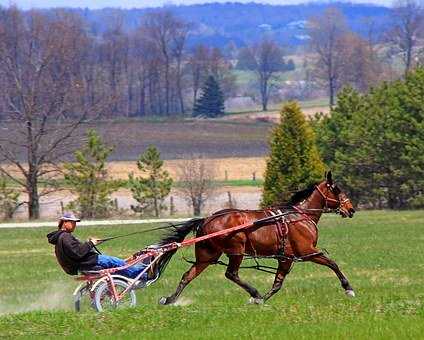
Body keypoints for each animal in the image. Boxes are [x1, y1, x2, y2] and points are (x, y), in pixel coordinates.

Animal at [157, 171, 356, 304]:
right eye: (337, 190)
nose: (351, 209)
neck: (300, 216)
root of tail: (206, 219)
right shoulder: (307, 251)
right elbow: (332, 264)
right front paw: (348, 288)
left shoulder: (286, 257)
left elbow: (277, 283)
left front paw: (263, 300)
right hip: (236, 251)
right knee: (231, 274)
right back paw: (254, 293)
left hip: (207, 255)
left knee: (188, 275)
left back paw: (170, 299)